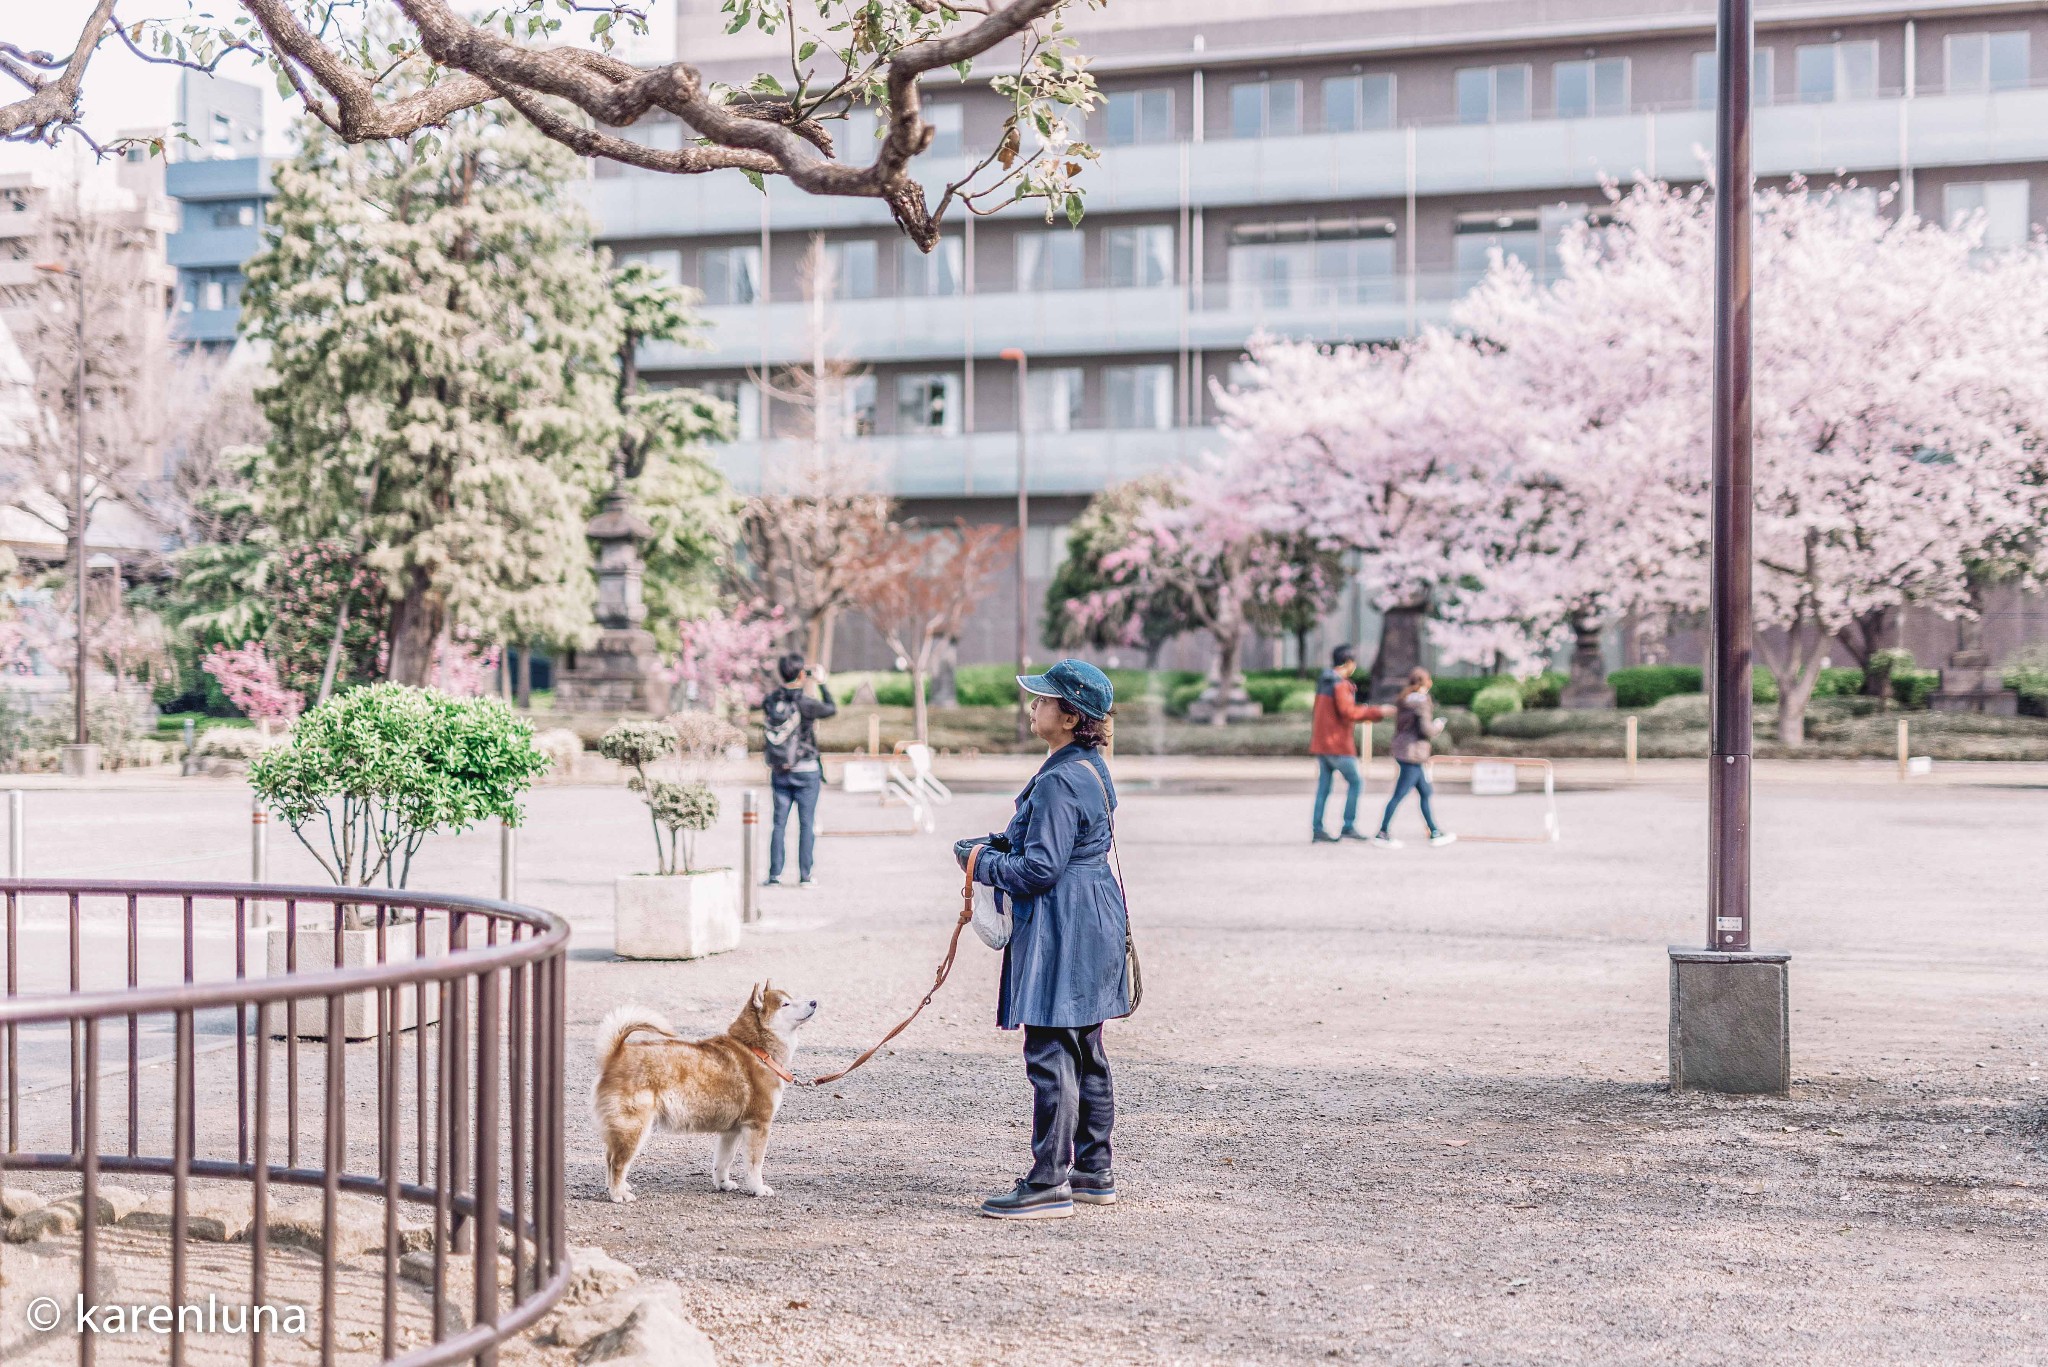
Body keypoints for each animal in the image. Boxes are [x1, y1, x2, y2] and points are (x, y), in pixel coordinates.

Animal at [593, 983, 815, 1196]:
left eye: (792, 998)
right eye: (785, 1004)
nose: (814, 1002)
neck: (757, 1051)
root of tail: (616, 1053)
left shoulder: (731, 1131)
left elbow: (723, 1162)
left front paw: (723, 1184)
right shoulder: (757, 1125)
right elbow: (754, 1165)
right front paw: (758, 1189)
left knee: (609, 1157)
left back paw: (618, 1187)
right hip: (634, 1128)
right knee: (617, 1162)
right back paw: (618, 1194)